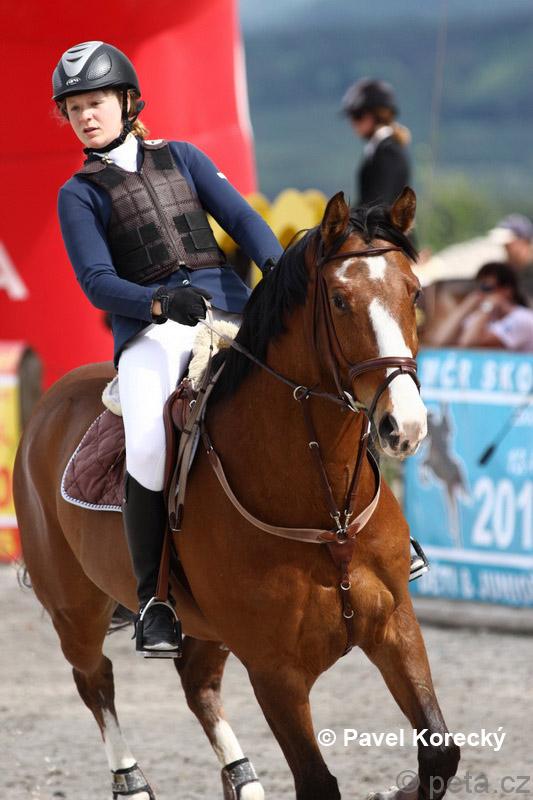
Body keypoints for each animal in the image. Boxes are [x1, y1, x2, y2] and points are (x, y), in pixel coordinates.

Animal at [14, 188, 460, 800]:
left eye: (414, 292)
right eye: (340, 300)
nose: (404, 427)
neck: (324, 505)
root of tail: (48, 405)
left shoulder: (397, 628)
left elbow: (439, 754)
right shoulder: (275, 672)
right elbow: (318, 781)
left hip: (205, 630)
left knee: (197, 685)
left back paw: (242, 780)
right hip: (74, 609)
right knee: (95, 681)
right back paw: (131, 781)